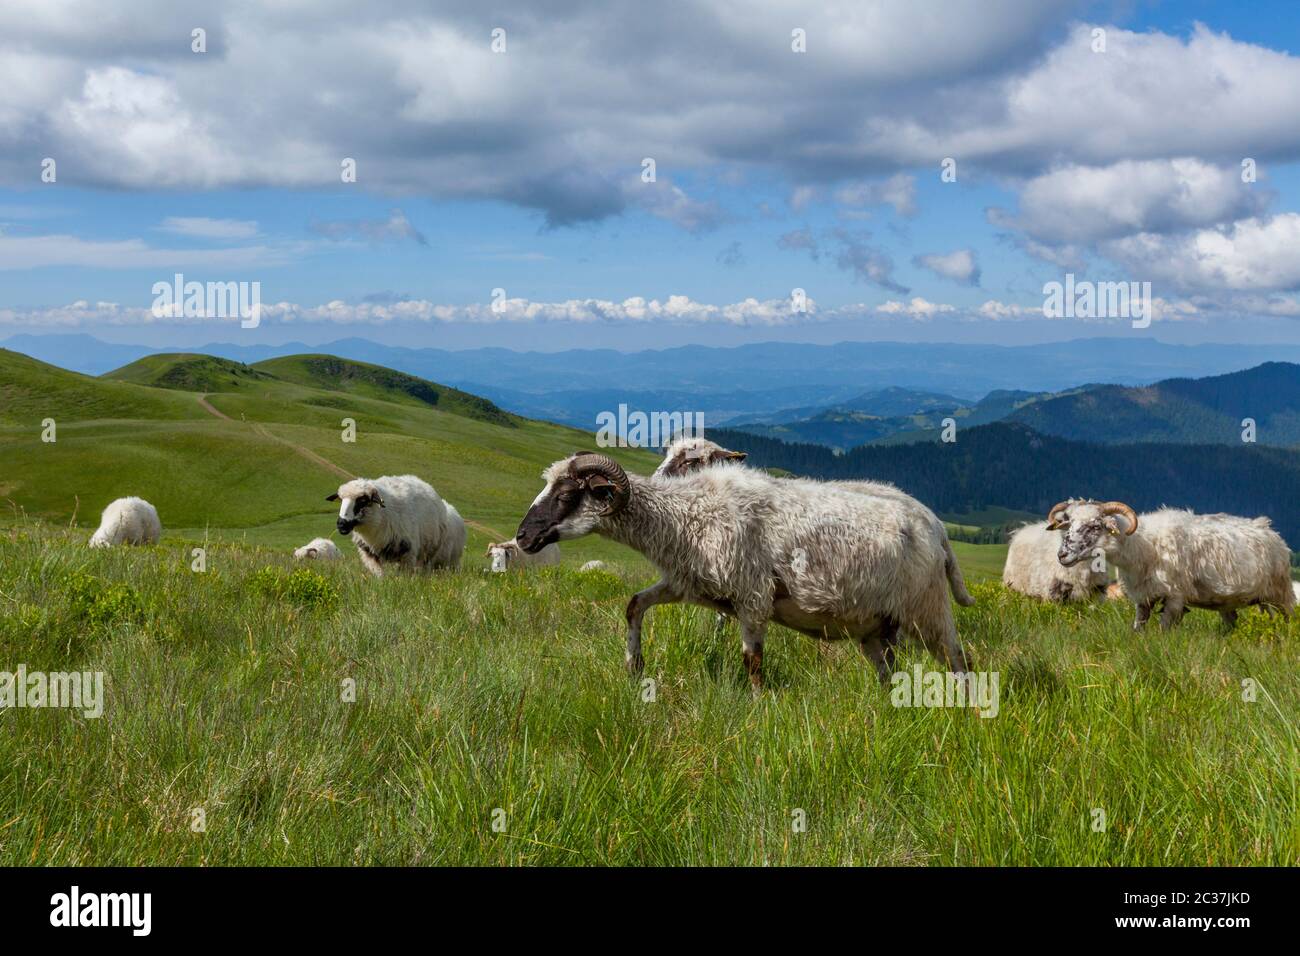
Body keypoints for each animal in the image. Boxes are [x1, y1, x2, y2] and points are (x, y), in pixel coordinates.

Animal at [326, 474, 466, 576]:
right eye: (341, 500)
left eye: (362, 500)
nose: (341, 524)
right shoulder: (369, 554)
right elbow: (380, 575)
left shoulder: (408, 552)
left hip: (431, 553)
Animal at [515, 452, 972, 689]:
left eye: (567, 495)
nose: (522, 538)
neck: (687, 514)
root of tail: (934, 524)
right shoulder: (687, 584)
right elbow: (634, 605)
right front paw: (634, 665)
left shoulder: (753, 597)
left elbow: (752, 659)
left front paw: (757, 707)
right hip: (877, 627)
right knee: (888, 670)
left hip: (927, 608)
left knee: (958, 657)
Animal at [1050, 499, 1294, 629]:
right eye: (1069, 524)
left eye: (1094, 526)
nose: (1062, 555)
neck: (1142, 546)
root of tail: (1270, 530)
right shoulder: (1143, 598)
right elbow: (1138, 628)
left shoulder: (1175, 598)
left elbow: (1164, 629)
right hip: (1240, 601)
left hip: (1282, 594)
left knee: (1287, 619)